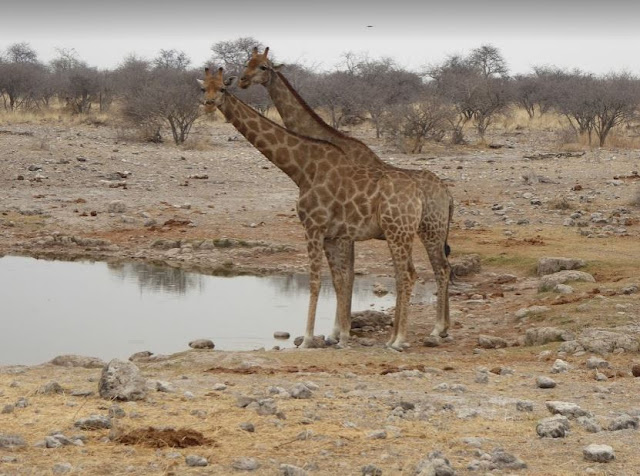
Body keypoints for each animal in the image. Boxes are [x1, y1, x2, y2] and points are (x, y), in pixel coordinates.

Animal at [198, 67, 448, 350]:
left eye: (222, 89)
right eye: (203, 88)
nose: (209, 104)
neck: (302, 169)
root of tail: (427, 192)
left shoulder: (313, 227)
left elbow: (316, 281)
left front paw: (309, 339)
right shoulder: (333, 235)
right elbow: (339, 280)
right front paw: (340, 336)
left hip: (404, 232)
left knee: (411, 274)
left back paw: (403, 339)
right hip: (404, 233)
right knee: (413, 273)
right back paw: (407, 335)